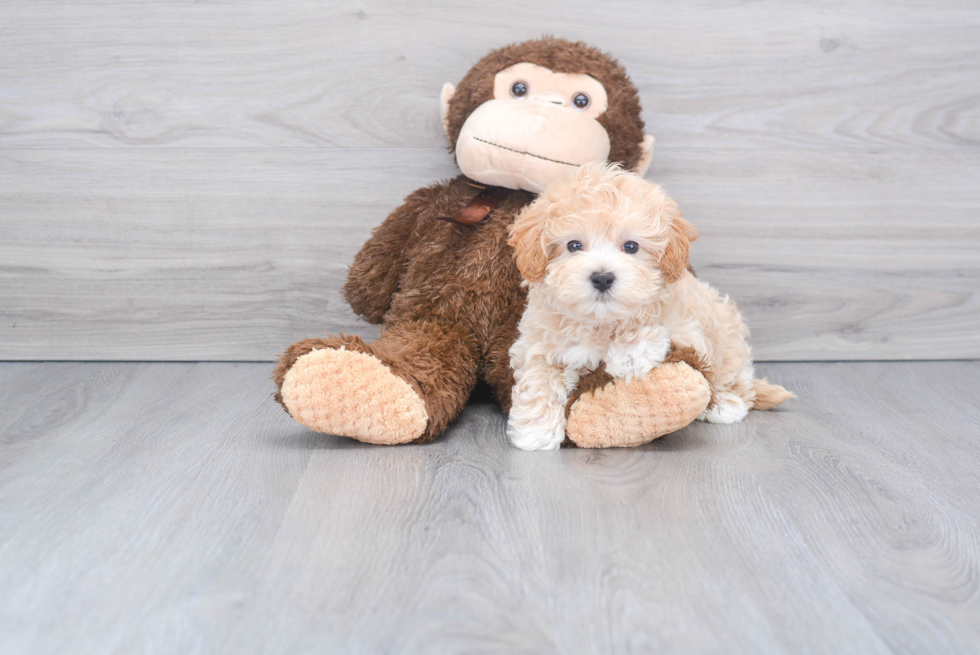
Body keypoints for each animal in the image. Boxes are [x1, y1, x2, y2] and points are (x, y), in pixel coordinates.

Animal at [502, 163, 792, 452]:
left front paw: (628, 357)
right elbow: (538, 380)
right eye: (574, 245)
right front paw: (536, 431)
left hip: (726, 335)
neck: (600, 321)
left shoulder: (687, 327)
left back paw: (726, 405)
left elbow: (655, 331)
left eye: (631, 246)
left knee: (732, 379)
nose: (602, 278)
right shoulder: (538, 344)